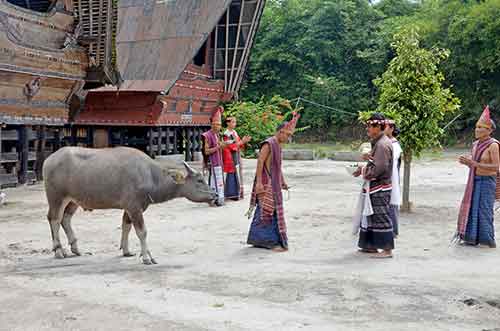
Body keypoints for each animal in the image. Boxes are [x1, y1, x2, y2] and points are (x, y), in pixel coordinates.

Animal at [42, 147, 215, 266]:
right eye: (200, 180)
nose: (215, 194)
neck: (150, 176)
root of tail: (48, 160)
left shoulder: (129, 208)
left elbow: (126, 226)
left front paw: (127, 251)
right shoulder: (134, 207)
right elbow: (142, 232)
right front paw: (147, 257)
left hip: (73, 200)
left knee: (65, 219)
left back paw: (76, 249)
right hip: (56, 197)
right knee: (54, 219)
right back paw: (59, 251)